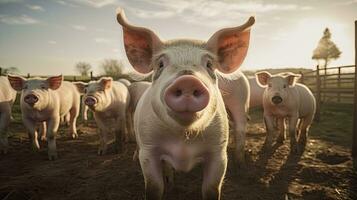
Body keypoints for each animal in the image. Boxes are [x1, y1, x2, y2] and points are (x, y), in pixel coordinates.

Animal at [117, 8, 253, 200]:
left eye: (209, 64)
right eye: (160, 64)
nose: (188, 80)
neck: (183, 141)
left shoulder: (219, 151)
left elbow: (211, 189)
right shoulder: (148, 150)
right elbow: (154, 187)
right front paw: (166, 187)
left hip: (241, 104)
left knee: (240, 130)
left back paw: (241, 167)